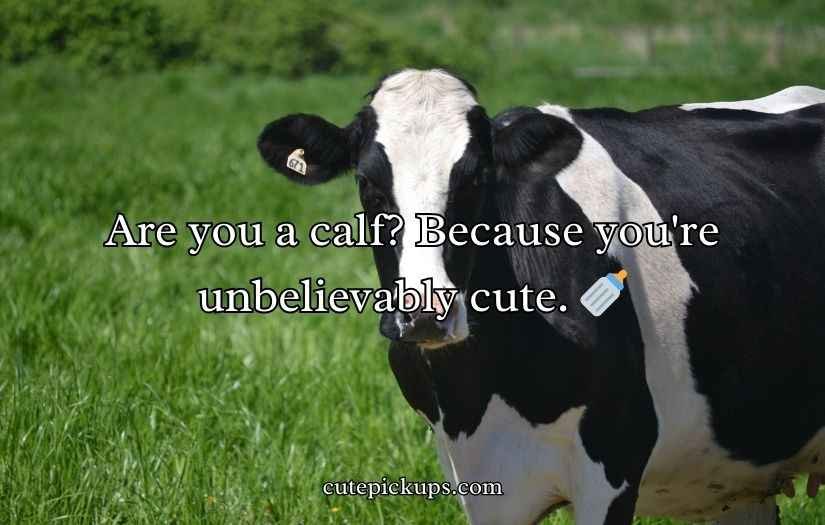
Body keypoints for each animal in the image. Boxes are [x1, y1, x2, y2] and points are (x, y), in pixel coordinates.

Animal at [257, 68, 825, 524]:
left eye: (476, 178)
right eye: (369, 185)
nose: (426, 315)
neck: (479, 389)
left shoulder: (613, 463)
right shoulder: (483, 483)